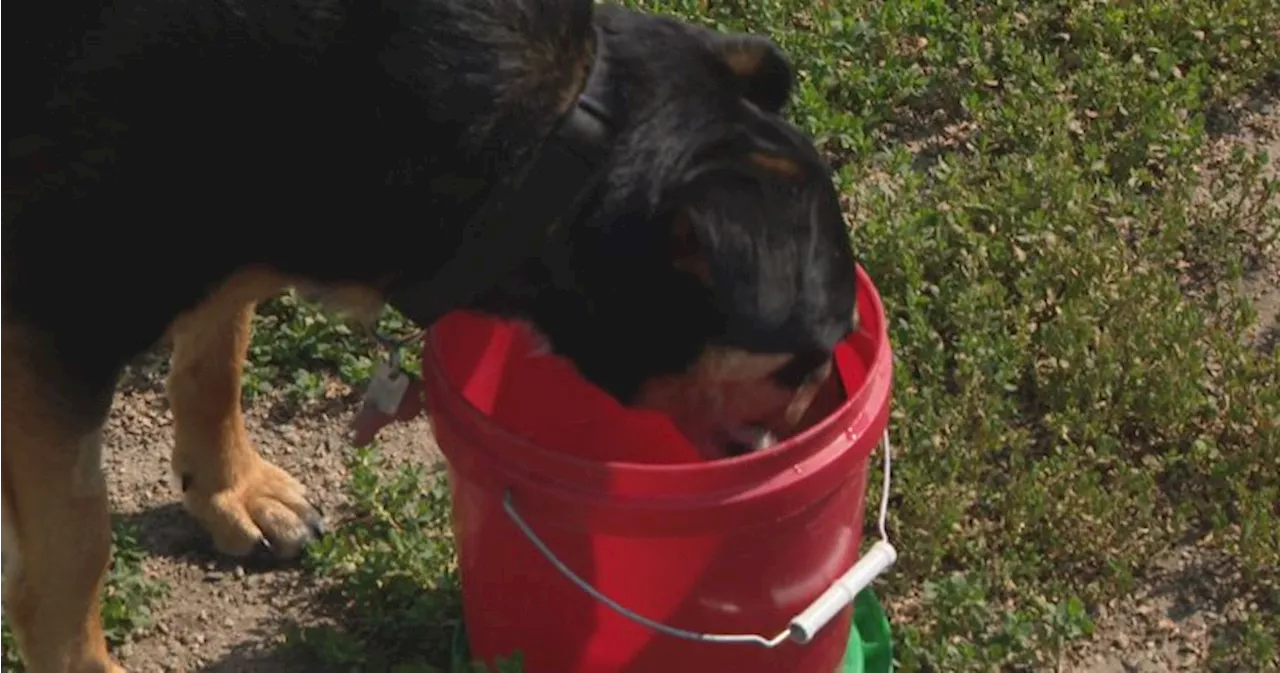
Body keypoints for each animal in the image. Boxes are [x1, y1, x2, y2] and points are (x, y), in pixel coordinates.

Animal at [2, 2, 860, 670]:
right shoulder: (49, 314)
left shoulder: (247, 221)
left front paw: (230, 489)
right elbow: (76, 549)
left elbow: (218, 352)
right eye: (808, 357)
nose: (834, 419)